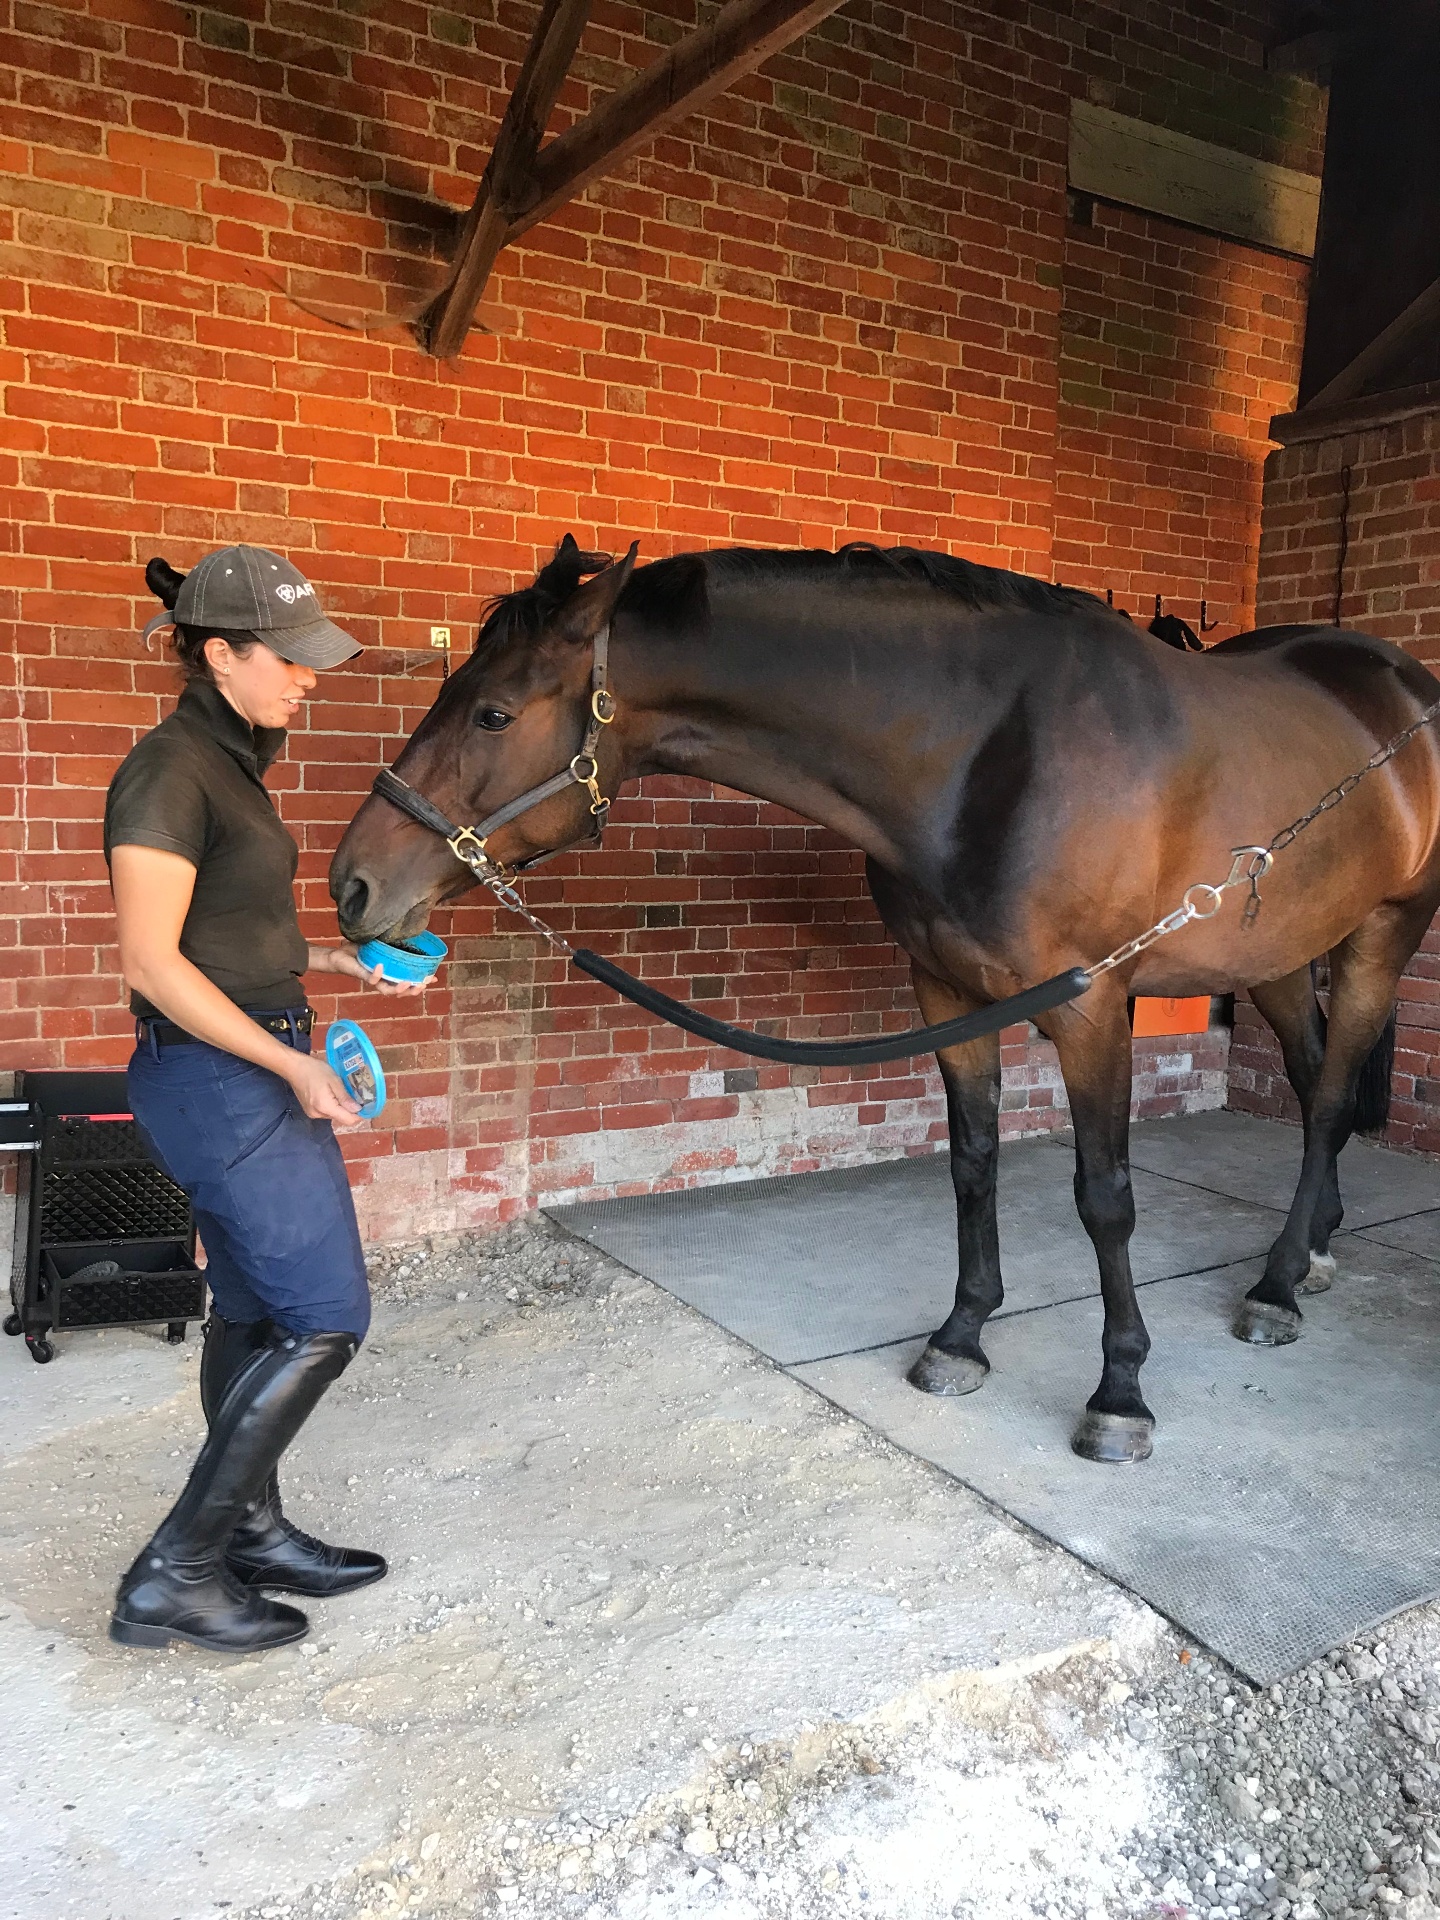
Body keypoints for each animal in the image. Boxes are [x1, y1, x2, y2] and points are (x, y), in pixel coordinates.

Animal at [330, 536, 1440, 1464]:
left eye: (493, 713)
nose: (352, 885)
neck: (991, 755)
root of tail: (1401, 685)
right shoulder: (946, 992)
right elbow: (972, 1165)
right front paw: (961, 1338)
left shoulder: (1092, 1007)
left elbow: (1105, 1198)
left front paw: (1120, 1393)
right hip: (1278, 949)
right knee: (1312, 1078)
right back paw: (1311, 1253)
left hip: (1384, 934)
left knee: (1330, 1099)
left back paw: (1279, 1284)